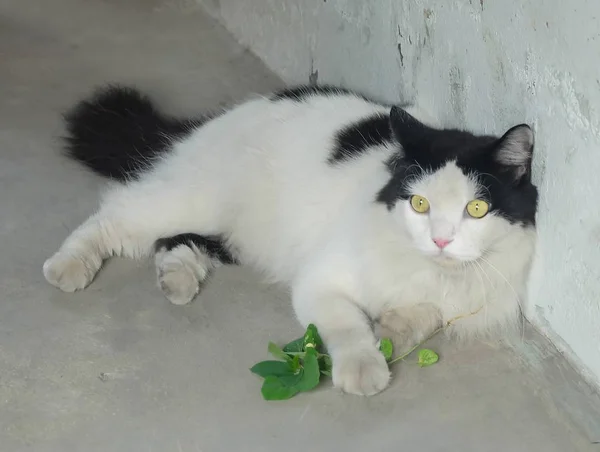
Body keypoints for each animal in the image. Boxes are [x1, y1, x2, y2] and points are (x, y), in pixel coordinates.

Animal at [44, 85, 536, 396]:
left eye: (476, 209)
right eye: (419, 203)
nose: (440, 241)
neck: (432, 273)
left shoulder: (462, 299)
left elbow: (425, 316)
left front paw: (391, 329)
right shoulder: (321, 280)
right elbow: (347, 326)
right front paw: (364, 370)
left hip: (237, 231)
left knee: (179, 241)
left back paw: (177, 280)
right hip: (195, 197)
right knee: (116, 214)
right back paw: (68, 268)